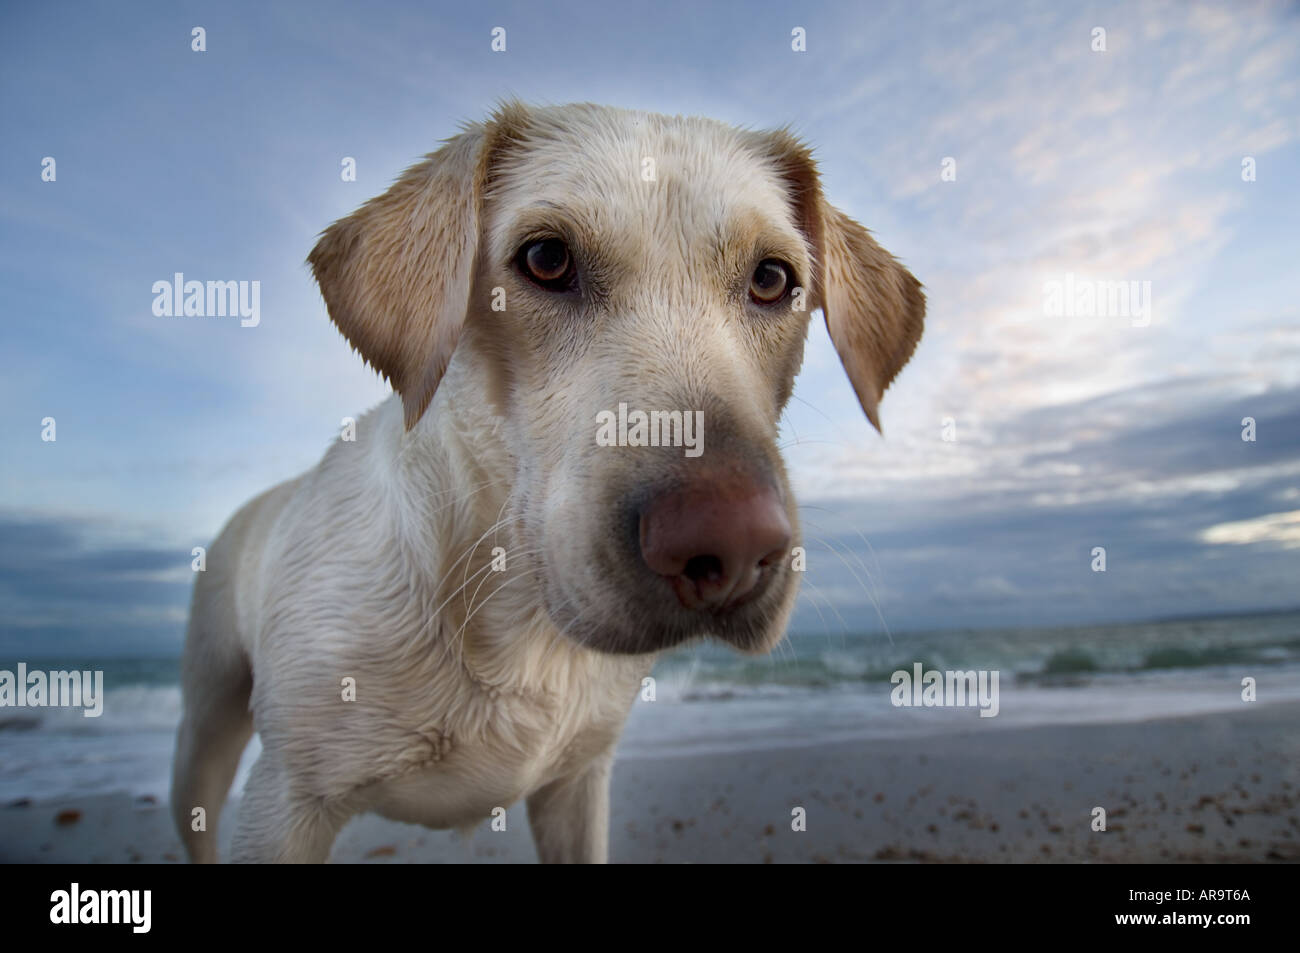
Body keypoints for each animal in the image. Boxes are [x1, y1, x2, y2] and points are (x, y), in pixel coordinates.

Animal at [170, 98, 925, 863]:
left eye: (772, 278)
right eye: (546, 259)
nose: (733, 547)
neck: (518, 621)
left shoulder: (577, 785)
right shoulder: (288, 800)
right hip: (204, 735)